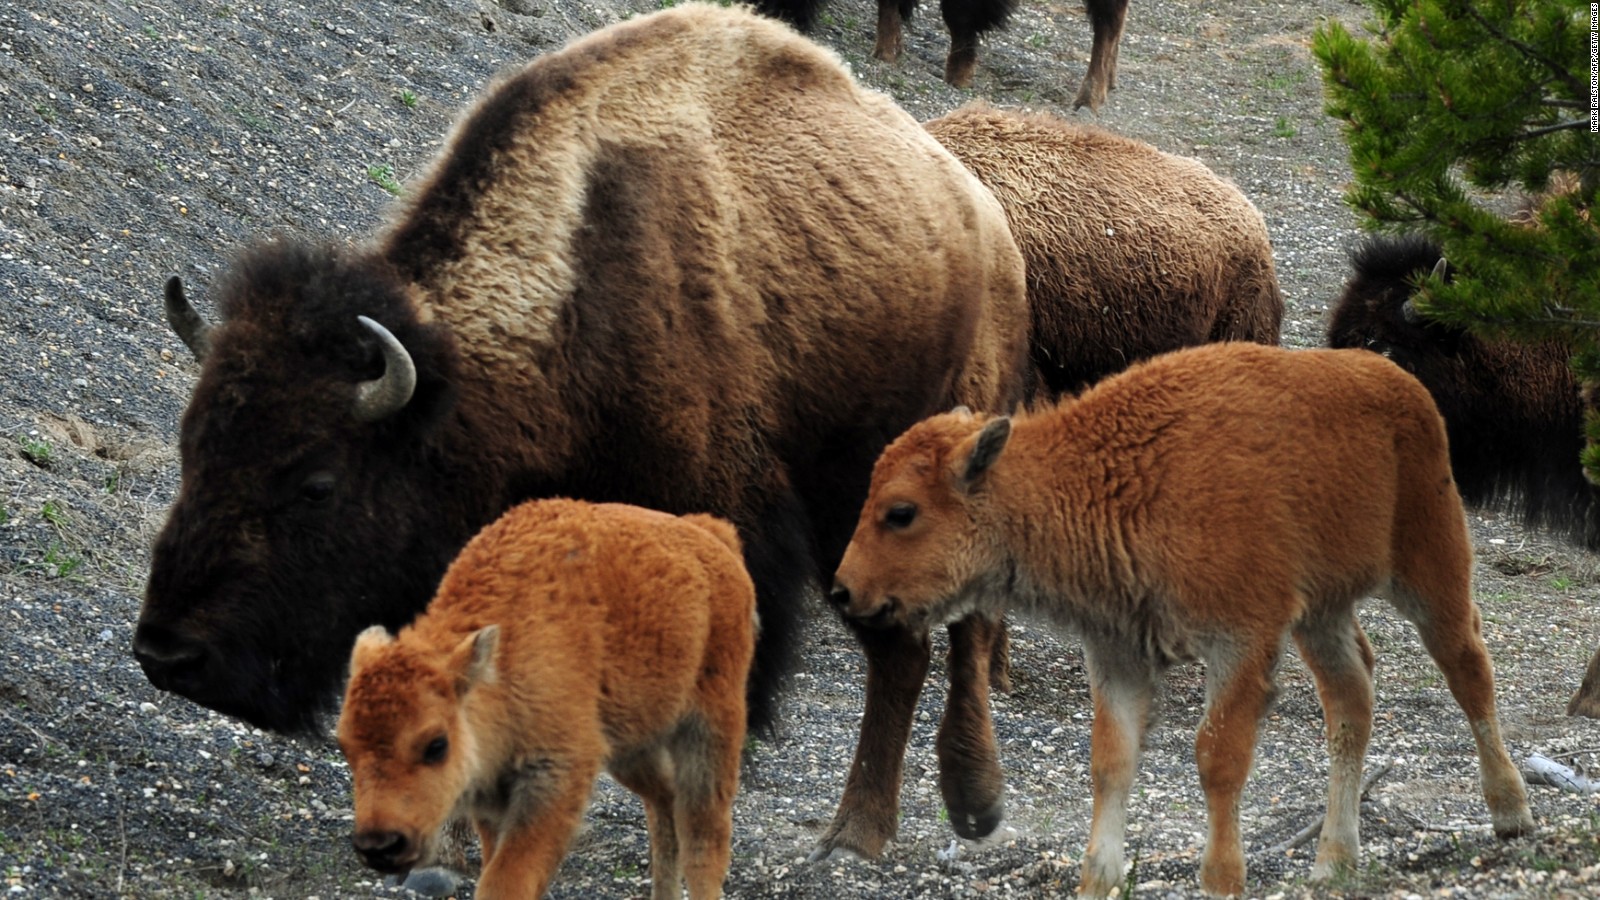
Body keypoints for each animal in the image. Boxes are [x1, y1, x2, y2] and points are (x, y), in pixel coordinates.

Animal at [336, 496, 755, 896]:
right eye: (345, 747)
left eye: (436, 744)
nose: (381, 845)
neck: (503, 658)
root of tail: (714, 539)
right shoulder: (492, 796)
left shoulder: (556, 776)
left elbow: (506, 880)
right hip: (632, 747)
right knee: (664, 803)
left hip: (710, 729)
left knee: (704, 839)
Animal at [832, 341, 1529, 890]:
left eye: (901, 511)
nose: (842, 591)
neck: (1108, 477)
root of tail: (1401, 383)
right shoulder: (1117, 654)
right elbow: (1111, 763)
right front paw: (1097, 882)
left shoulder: (1239, 644)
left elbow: (1217, 758)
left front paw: (1221, 879)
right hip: (1320, 613)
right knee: (1351, 698)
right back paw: (1334, 860)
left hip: (1429, 568)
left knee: (1469, 667)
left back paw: (1510, 812)